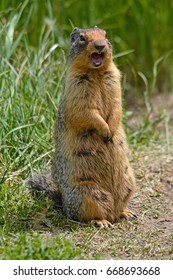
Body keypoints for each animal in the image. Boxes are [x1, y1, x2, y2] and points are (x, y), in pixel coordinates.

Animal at [27, 26, 136, 228]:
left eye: (105, 35)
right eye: (82, 38)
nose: (100, 45)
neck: (96, 73)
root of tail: (63, 203)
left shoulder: (115, 82)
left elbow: (117, 107)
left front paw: (111, 129)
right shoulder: (76, 88)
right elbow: (86, 112)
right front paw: (105, 130)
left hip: (129, 183)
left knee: (117, 209)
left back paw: (126, 212)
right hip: (87, 193)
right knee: (87, 215)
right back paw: (102, 221)